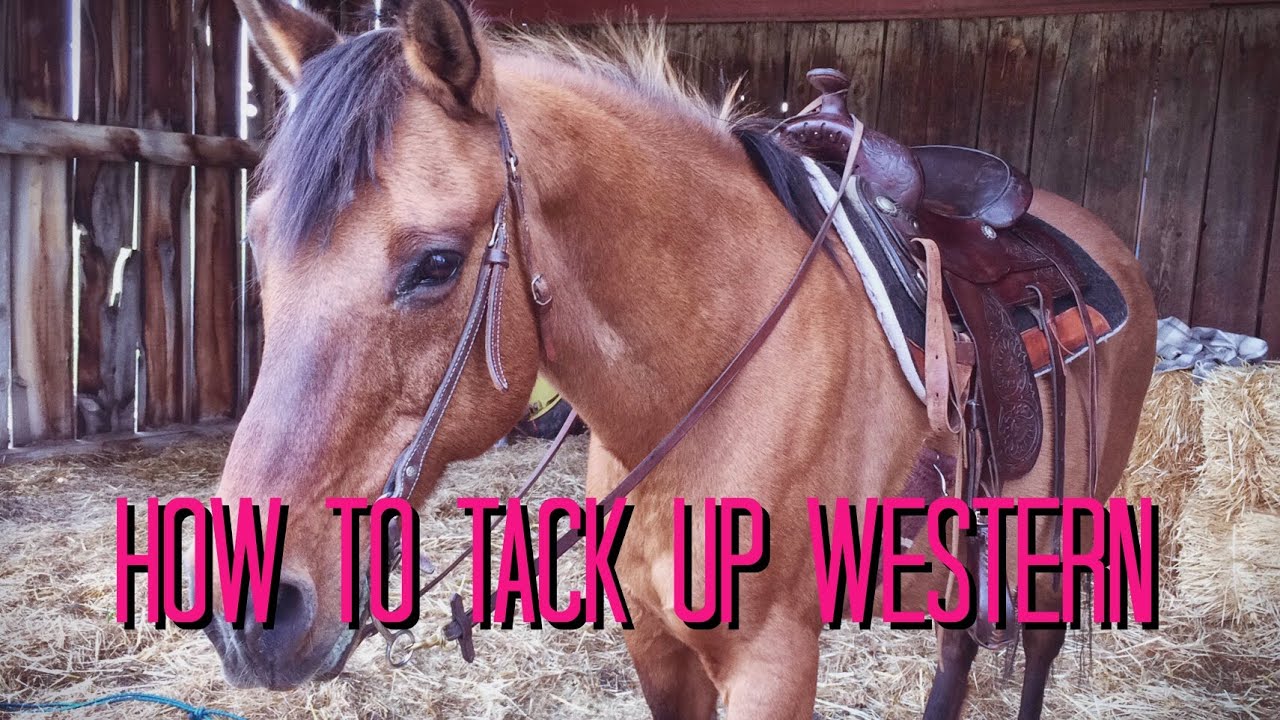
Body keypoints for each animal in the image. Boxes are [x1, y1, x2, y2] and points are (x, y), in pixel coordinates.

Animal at [206, 1, 1157, 717]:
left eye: (435, 264)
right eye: (256, 245)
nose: (253, 616)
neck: (707, 389)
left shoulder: (772, 665)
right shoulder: (657, 648)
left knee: (1038, 644)